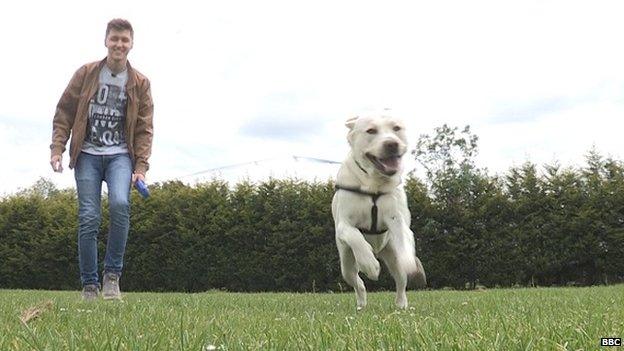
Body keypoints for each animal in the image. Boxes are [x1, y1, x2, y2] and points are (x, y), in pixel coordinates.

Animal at [332, 114, 424, 310]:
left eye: (396, 128)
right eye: (371, 130)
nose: (391, 144)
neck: (374, 184)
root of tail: (378, 251)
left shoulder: (397, 219)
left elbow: (404, 236)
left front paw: (409, 261)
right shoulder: (344, 224)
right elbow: (355, 236)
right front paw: (370, 265)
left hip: (392, 255)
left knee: (401, 282)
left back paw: (401, 305)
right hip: (346, 264)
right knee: (358, 283)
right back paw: (361, 304)